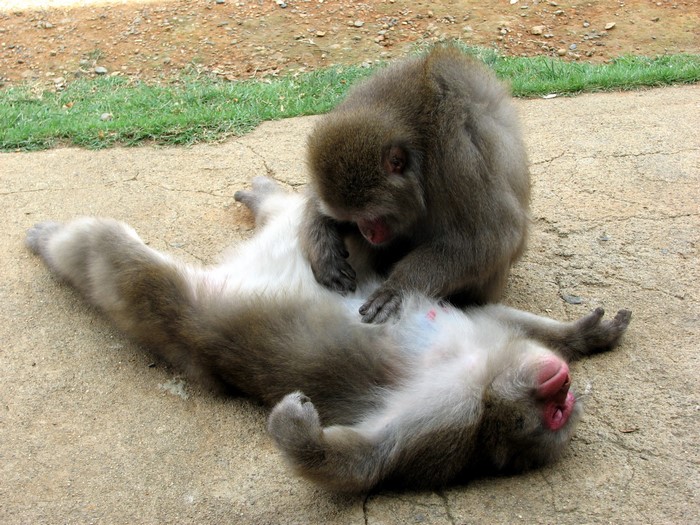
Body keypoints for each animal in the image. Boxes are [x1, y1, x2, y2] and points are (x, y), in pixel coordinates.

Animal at [25, 177, 630, 493]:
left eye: (557, 413)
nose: (563, 384)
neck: (482, 372)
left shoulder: (454, 415)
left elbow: (367, 459)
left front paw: (300, 435)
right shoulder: (488, 346)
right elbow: (502, 315)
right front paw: (583, 335)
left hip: (179, 309)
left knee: (115, 258)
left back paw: (54, 243)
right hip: (328, 245)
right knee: (323, 216)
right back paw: (269, 195)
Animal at [302, 45, 531, 323]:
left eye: (372, 216)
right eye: (353, 219)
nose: (367, 233)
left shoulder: (460, 157)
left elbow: (489, 238)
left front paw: (397, 288)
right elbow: (316, 199)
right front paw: (325, 254)